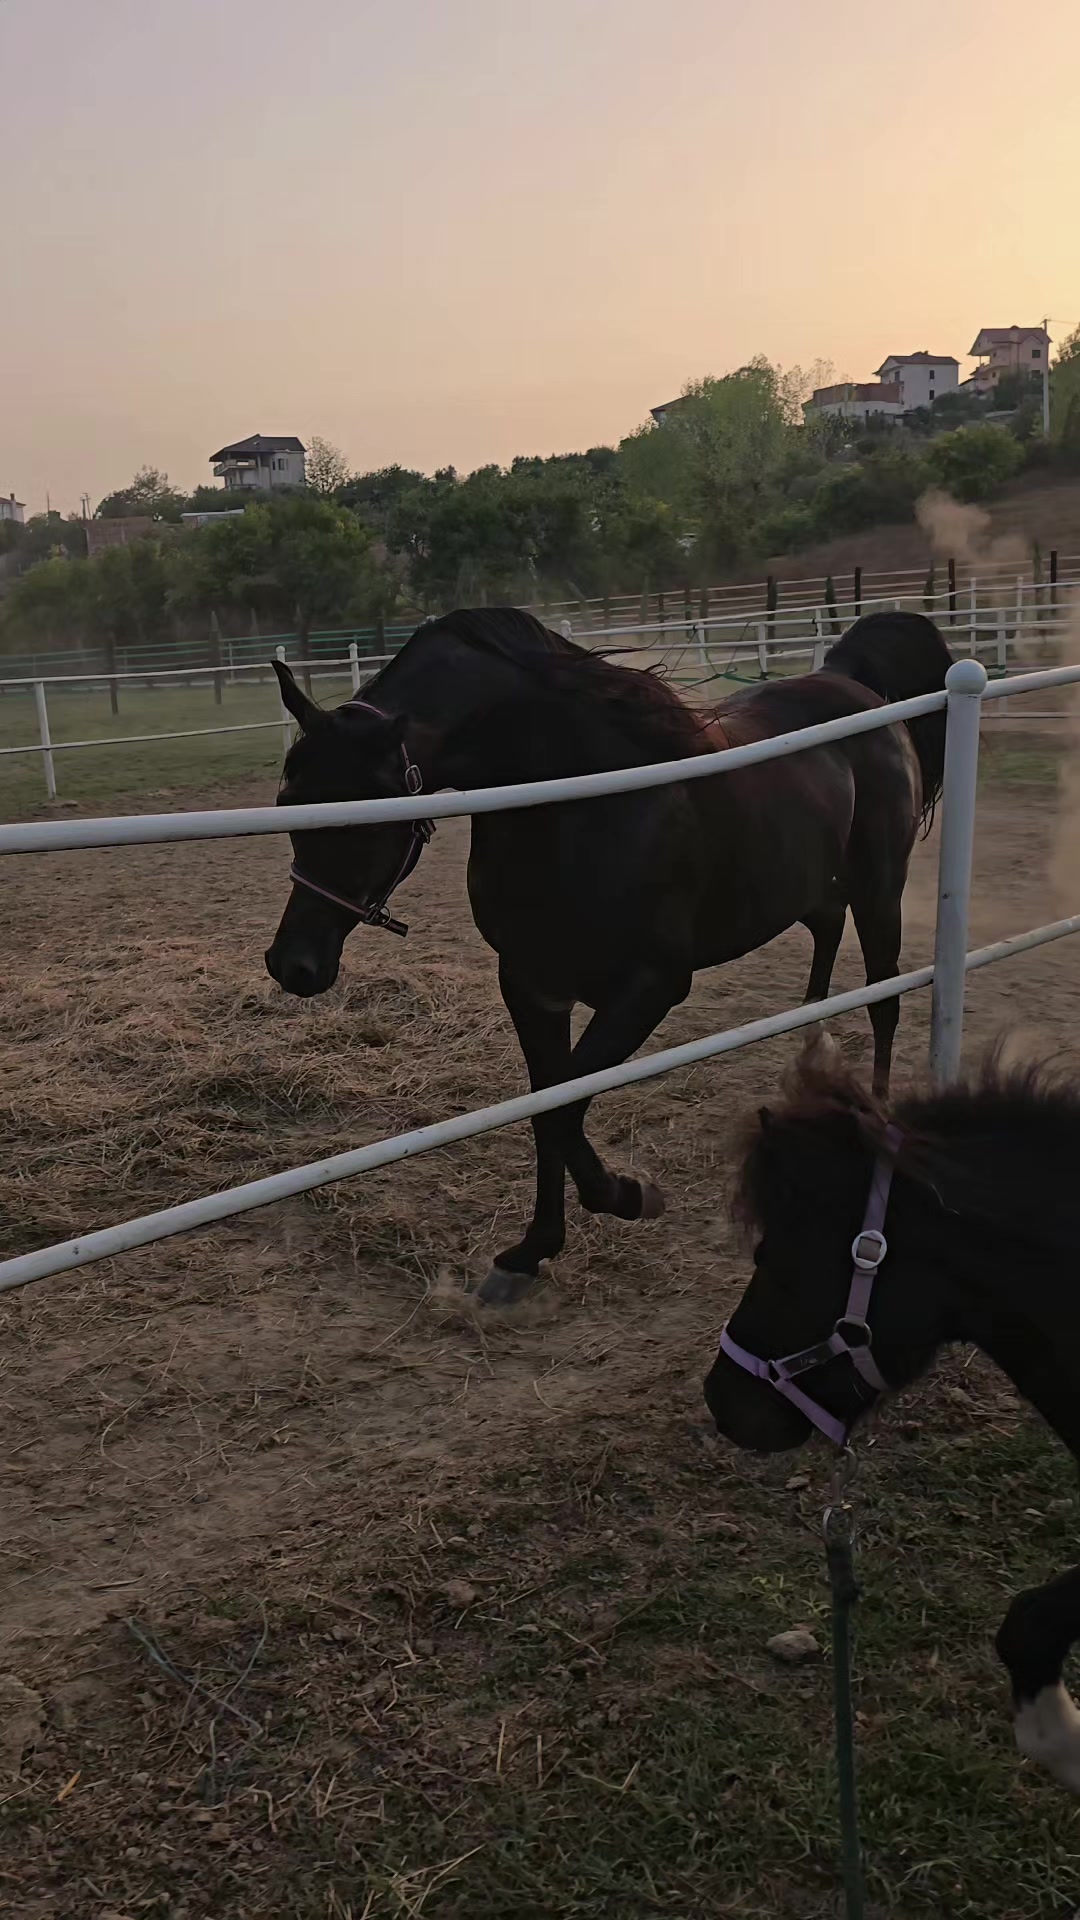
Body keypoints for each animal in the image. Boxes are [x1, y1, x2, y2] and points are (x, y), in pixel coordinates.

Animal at [265, 605, 951, 1304]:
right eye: (288, 803)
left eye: (364, 819)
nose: (293, 965)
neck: (583, 806)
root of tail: (850, 685)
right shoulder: (532, 985)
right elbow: (547, 1110)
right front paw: (531, 1252)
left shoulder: (649, 987)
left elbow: (566, 1112)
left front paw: (629, 1196)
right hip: (815, 883)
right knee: (825, 938)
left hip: (879, 887)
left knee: (885, 998)